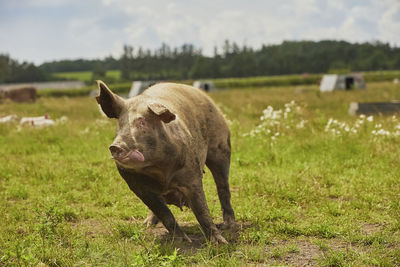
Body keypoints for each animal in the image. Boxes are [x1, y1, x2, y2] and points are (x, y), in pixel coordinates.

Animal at [95, 80, 236, 244]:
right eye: (120, 125)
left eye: (142, 122)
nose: (115, 146)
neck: (158, 170)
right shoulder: (137, 186)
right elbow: (164, 213)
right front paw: (182, 241)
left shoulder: (192, 175)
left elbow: (202, 211)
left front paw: (221, 243)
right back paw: (147, 224)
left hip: (221, 147)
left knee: (223, 187)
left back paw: (228, 225)